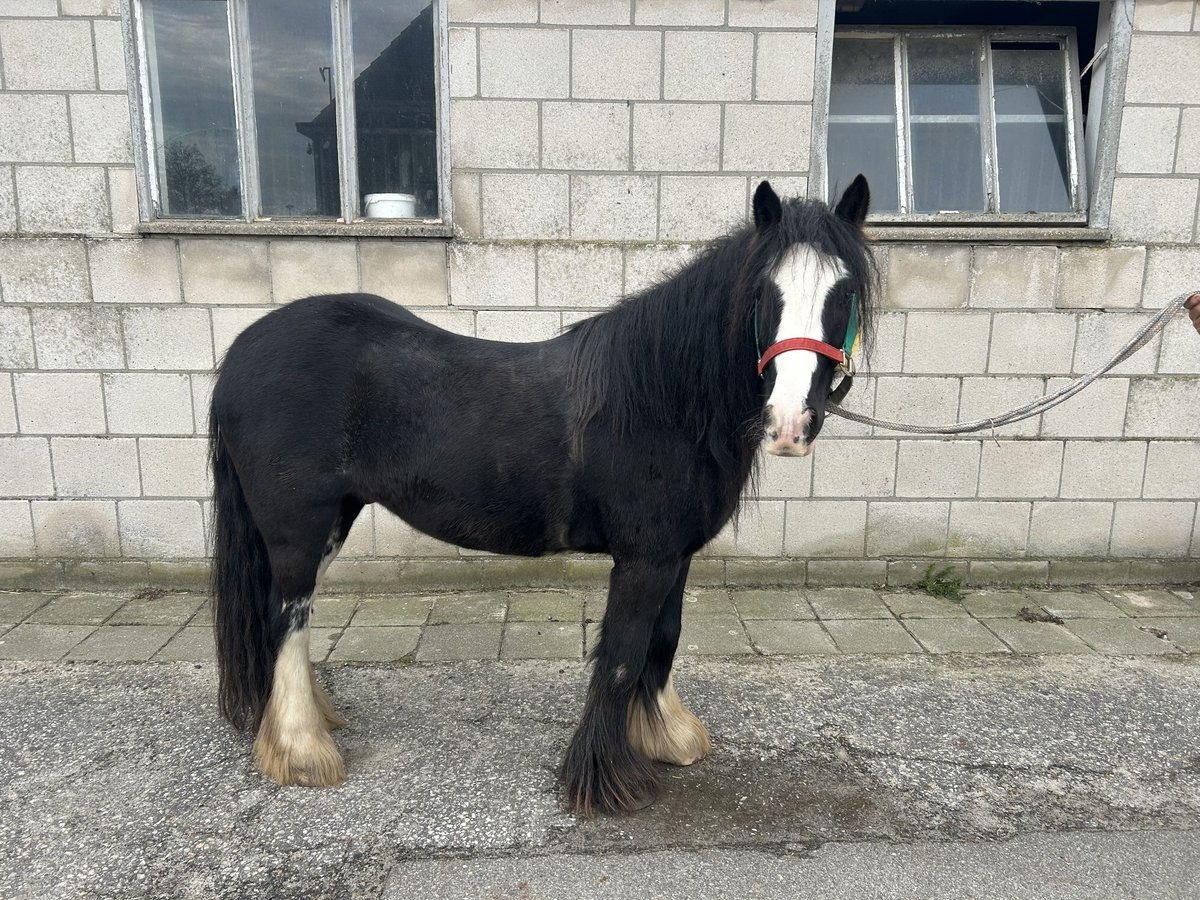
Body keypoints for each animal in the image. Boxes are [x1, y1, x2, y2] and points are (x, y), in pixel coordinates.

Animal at [209, 176, 877, 816]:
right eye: (765, 292)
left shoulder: (674, 555)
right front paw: (606, 783)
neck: (663, 398)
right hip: (298, 528)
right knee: (287, 618)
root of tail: (241, 352)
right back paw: (302, 751)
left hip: (331, 521)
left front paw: (667, 738)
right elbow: (620, 657)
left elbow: (663, 641)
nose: (790, 424)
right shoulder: (643, 561)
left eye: (843, 293)